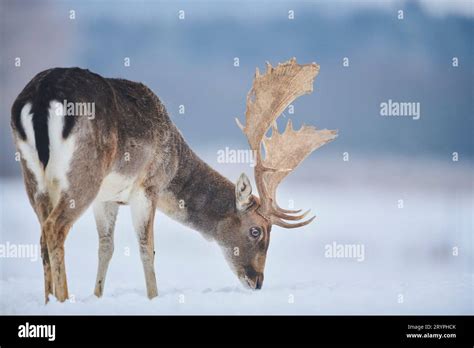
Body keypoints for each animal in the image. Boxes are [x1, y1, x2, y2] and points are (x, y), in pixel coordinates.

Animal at [11, 57, 336, 302]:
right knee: (55, 228)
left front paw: (98, 296)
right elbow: (147, 248)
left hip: (33, 175)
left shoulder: (108, 198)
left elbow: (106, 247)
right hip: (83, 173)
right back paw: (63, 299)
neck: (175, 162)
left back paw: (48, 300)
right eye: (257, 231)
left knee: (42, 232)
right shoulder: (148, 186)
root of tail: (39, 99)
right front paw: (153, 297)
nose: (257, 282)